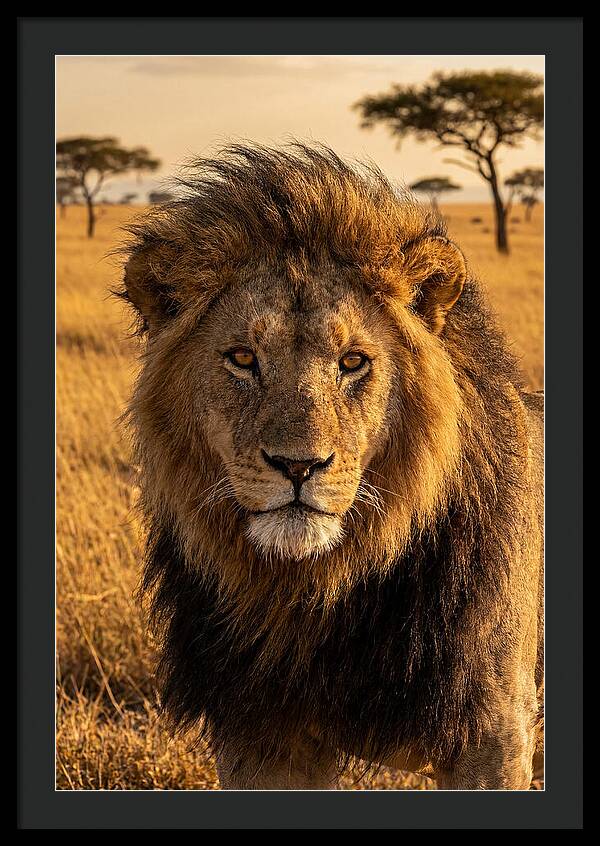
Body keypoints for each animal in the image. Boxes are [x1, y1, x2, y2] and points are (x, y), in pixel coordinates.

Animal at [119, 143, 544, 790]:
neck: (316, 592)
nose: (298, 466)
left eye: (353, 361)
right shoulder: (260, 735)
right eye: (242, 358)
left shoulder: (493, 732)